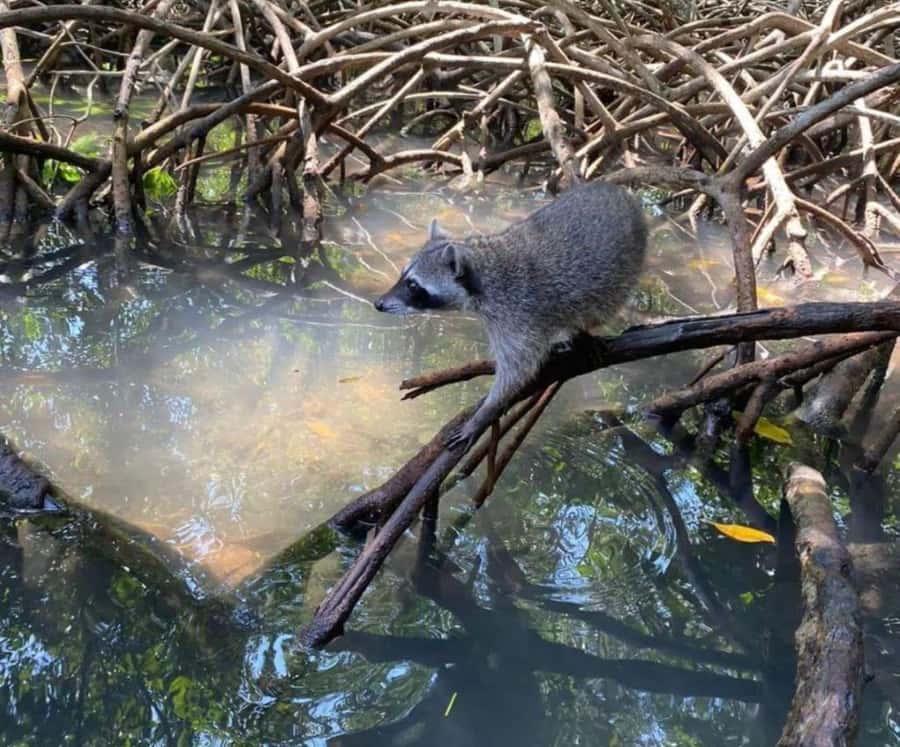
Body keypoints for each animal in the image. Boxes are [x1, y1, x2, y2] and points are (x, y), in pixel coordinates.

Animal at [374, 181, 648, 450]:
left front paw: (484, 413)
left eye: (413, 286)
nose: (378, 303)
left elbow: (517, 370)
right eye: (403, 276)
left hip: (623, 268)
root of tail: (614, 188)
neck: (483, 269)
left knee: (600, 306)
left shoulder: (518, 314)